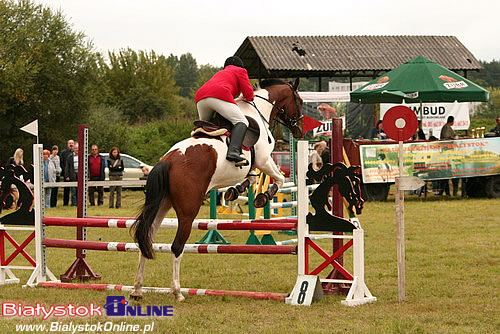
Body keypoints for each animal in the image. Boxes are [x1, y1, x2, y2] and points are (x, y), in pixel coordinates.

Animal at [131, 77, 302, 300]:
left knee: (146, 239)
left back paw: (137, 290)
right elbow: (279, 178)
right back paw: (177, 292)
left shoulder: (253, 165)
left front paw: (235, 191)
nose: (299, 130)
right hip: (187, 211)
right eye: (299, 101)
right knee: (177, 246)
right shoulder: (264, 160)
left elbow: (251, 179)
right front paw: (263, 196)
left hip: (161, 205)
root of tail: (167, 161)